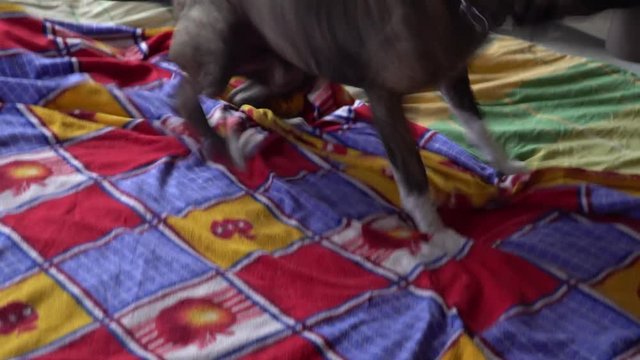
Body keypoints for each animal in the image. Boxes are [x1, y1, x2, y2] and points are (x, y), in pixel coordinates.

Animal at [161, 0, 636, 239]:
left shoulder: (453, 76)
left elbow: (480, 129)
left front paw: (507, 167)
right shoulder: (385, 96)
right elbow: (413, 175)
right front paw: (437, 233)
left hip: (290, 67)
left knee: (243, 94)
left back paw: (267, 128)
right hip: (218, 45)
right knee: (185, 95)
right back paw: (218, 144)